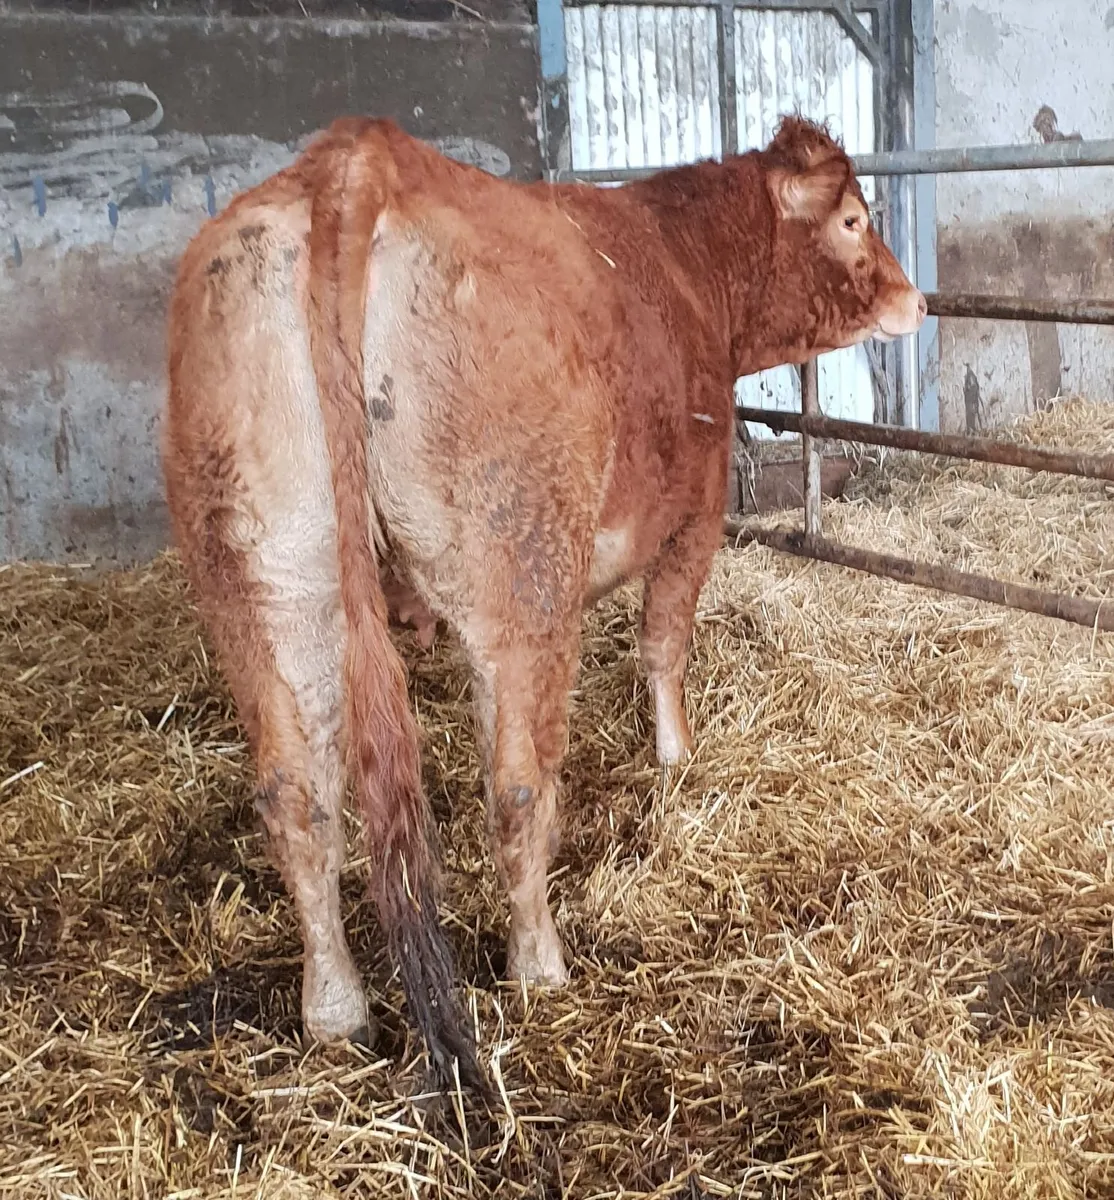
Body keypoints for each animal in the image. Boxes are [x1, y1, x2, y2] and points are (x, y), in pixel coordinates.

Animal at [162, 114, 925, 1090]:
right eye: (854, 220)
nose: (917, 301)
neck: (685, 265)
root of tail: (358, 160)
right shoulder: (696, 514)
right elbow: (663, 642)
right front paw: (676, 758)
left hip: (267, 585)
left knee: (298, 796)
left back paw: (332, 1010)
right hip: (519, 569)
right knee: (519, 784)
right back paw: (540, 966)